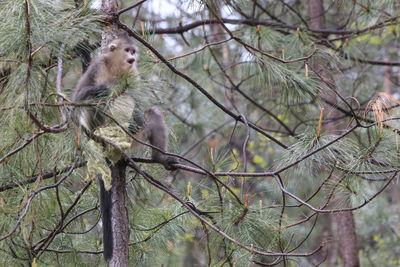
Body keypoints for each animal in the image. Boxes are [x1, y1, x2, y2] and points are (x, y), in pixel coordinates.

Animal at [72, 32, 178, 262]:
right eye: (127, 50)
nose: (133, 56)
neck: (115, 69)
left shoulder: (133, 74)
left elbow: (137, 101)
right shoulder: (97, 66)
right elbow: (77, 100)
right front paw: (99, 90)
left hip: (133, 138)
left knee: (151, 115)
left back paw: (160, 158)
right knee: (94, 107)